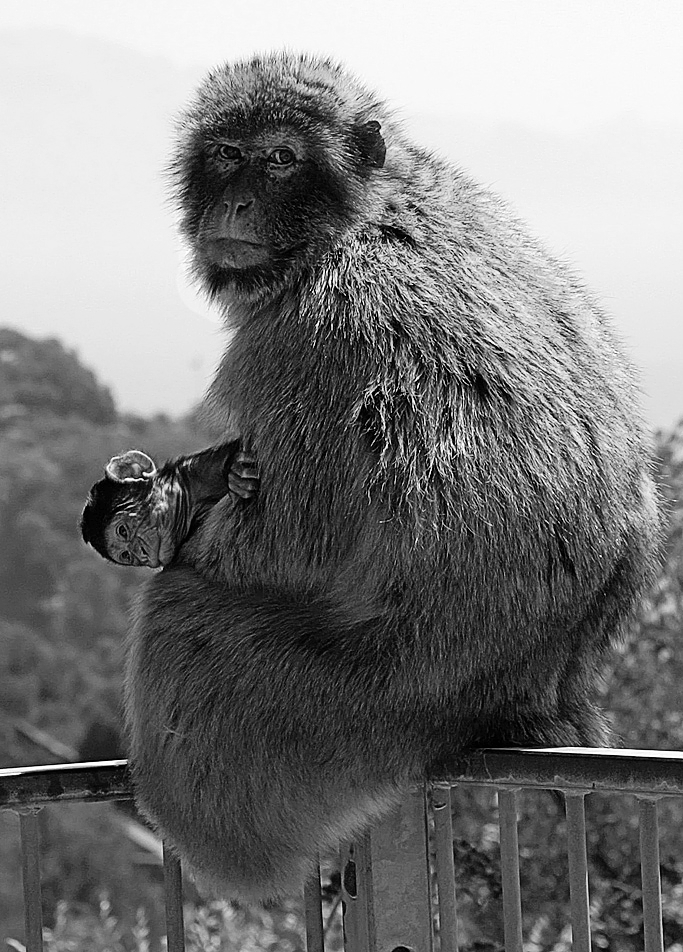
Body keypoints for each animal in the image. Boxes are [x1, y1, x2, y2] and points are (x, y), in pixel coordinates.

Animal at [124, 50, 664, 900]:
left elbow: (283, 547)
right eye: (228, 154)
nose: (236, 200)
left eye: (281, 159)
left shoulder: (301, 342)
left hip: (342, 711)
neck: (363, 215)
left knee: (179, 617)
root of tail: (536, 686)